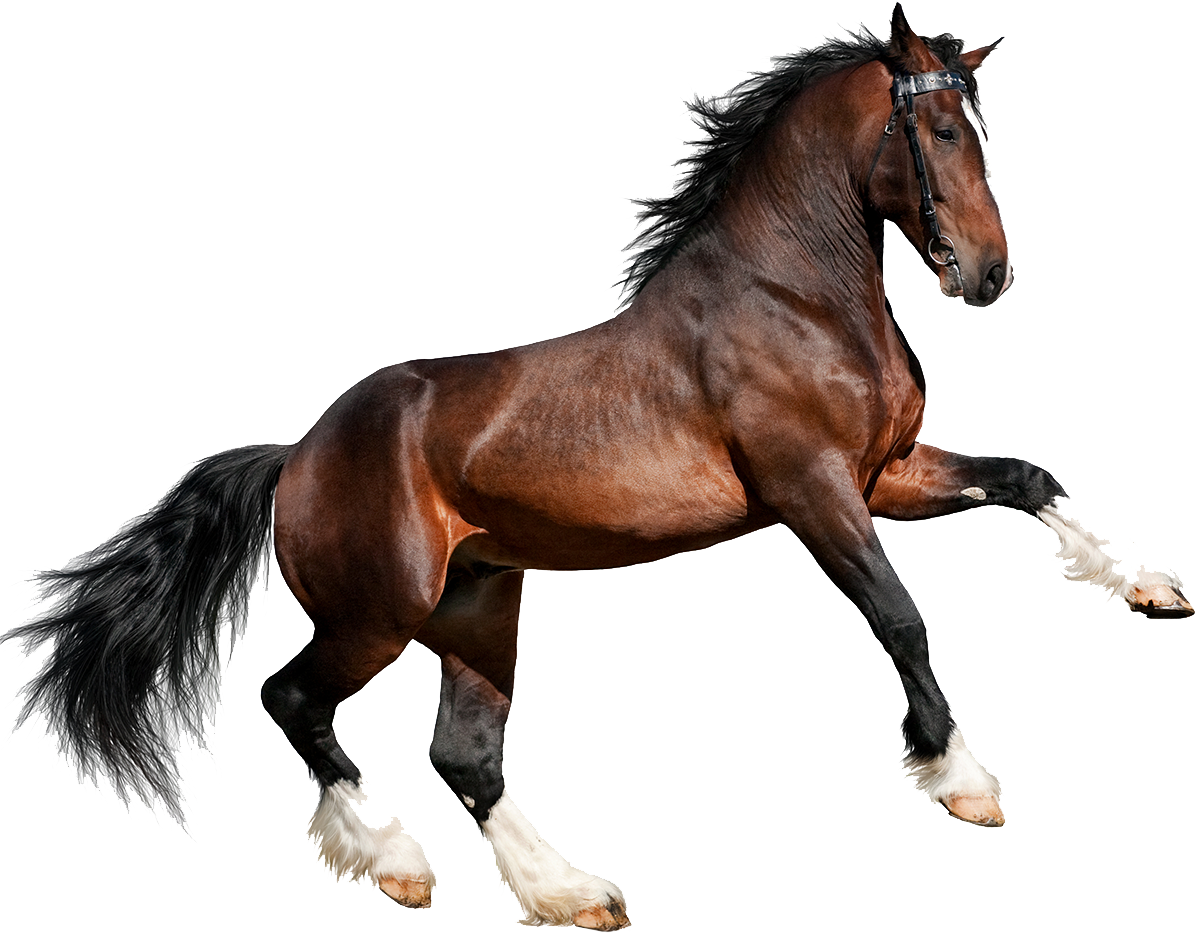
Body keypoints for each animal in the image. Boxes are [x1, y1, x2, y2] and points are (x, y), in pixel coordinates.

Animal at [7, 5, 1190, 930]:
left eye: (980, 128)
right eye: (939, 127)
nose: (986, 275)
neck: (794, 297)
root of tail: (296, 453)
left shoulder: (885, 475)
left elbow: (1029, 479)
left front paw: (1153, 590)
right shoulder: (813, 492)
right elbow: (900, 619)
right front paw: (963, 781)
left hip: (479, 606)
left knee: (465, 756)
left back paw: (570, 892)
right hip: (375, 614)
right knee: (291, 699)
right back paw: (396, 865)